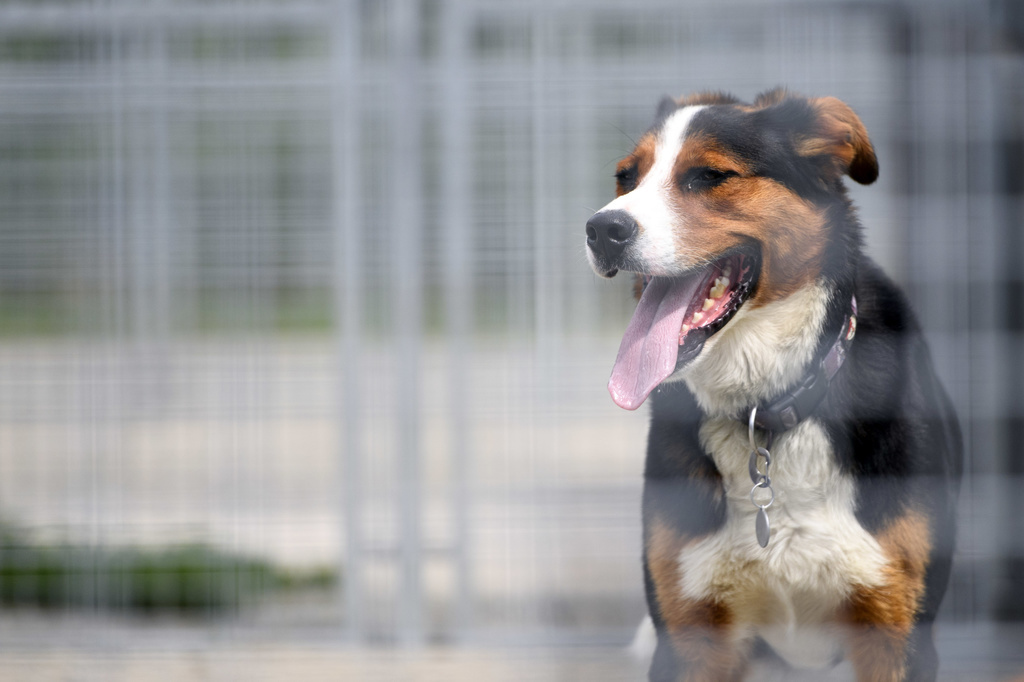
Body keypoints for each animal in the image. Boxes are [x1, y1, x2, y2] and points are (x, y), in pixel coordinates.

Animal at [585, 87, 958, 675]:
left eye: (710, 176)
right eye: (627, 177)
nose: (602, 229)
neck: (765, 409)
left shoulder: (897, 633)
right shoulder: (689, 640)